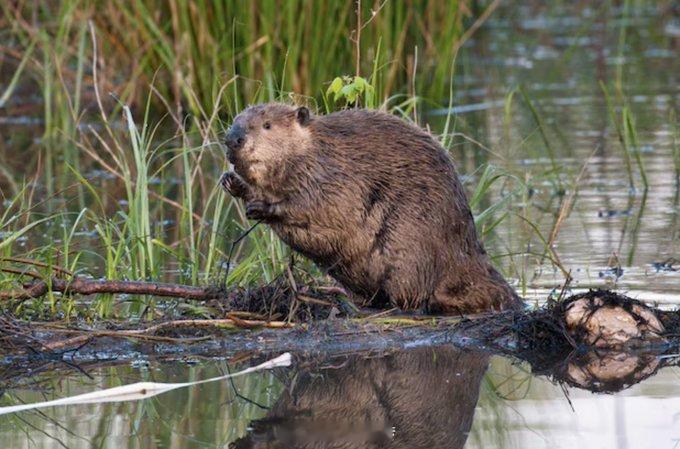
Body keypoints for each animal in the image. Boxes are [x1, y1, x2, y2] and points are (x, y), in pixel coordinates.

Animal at [222, 102, 520, 314]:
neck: (315, 149)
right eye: (235, 121)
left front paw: (261, 207)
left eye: (267, 125)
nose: (233, 138)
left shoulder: (334, 176)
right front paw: (231, 182)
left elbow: (318, 206)